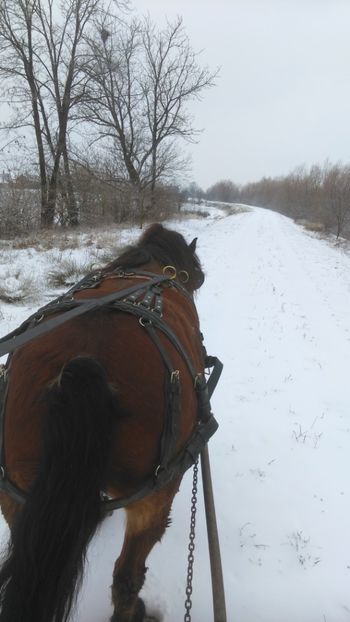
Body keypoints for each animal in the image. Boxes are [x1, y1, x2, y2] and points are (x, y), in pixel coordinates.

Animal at [0, 224, 219, 622]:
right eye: (197, 269)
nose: (200, 278)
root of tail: (85, 363)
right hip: (156, 496)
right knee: (126, 577)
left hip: (15, 491)